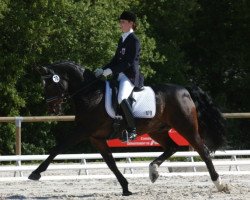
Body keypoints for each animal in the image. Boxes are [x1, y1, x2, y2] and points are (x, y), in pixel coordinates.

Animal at [29, 61, 229, 195]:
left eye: (50, 85)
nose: (52, 110)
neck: (90, 94)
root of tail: (185, 90)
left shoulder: (82, 131)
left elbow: (58, 148)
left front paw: (35, 173)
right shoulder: (96, 138)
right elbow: (110, 163)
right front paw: (125, 187)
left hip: (186, 127)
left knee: (203, 151)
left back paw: (219, 183)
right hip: (157, 130)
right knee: (172, 147)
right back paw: (153, 171)